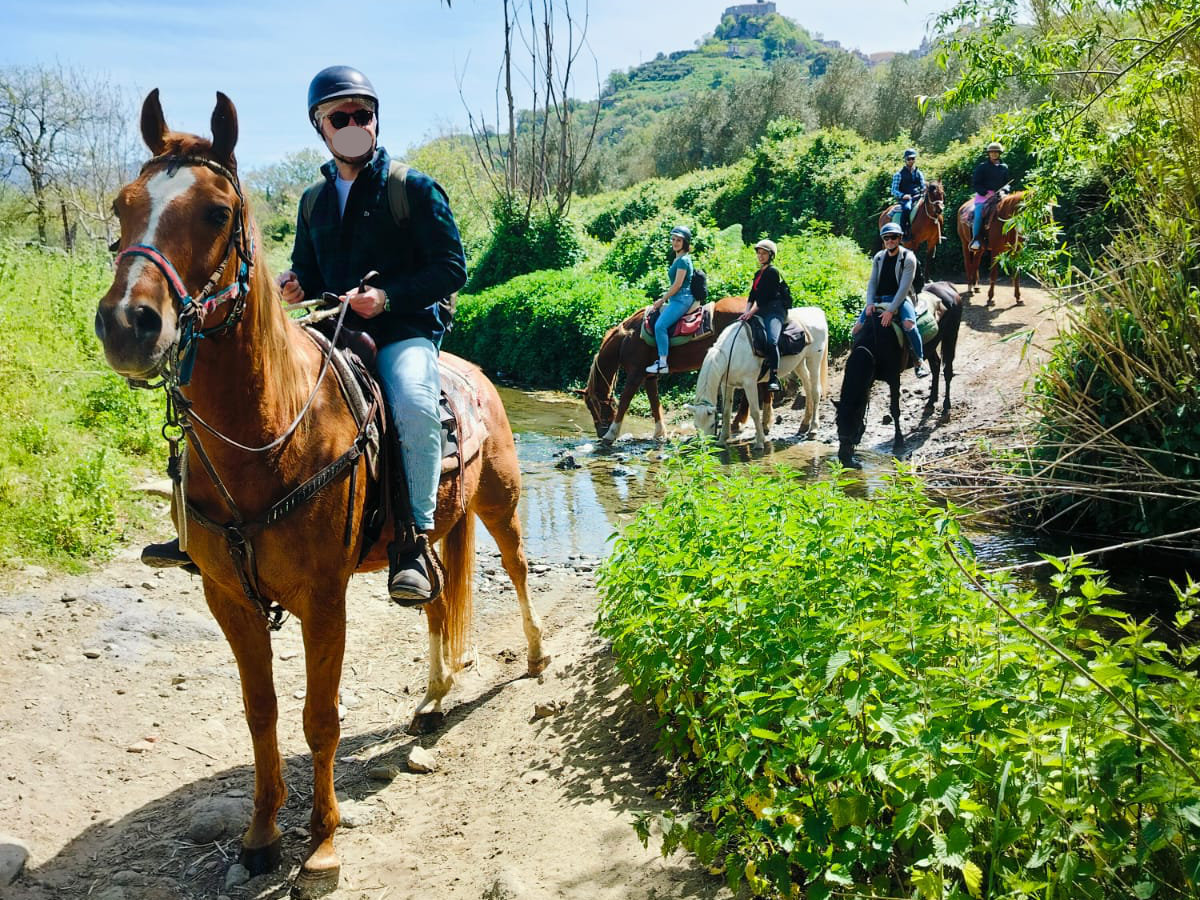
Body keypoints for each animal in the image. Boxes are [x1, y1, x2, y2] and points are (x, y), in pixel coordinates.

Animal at [93, 91, 549, 899]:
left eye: (217, 212)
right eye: (124, 205)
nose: (127, 325)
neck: (269, 433)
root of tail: (475, 374)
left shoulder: (323, 598)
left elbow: (320, 718)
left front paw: (323, 846)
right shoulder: (229, 599)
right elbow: (262, 714)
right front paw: (260, 835)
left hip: (499, 504)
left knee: (520, 571)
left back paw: (533, 657)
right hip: (432, 530)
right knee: (435, 596)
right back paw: (433, 698)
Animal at [579, 296, 768, 442]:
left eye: (593, 405)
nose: (600, 432)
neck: (628, 338)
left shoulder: (636, 374)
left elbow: (625, 401)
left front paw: (611, 434)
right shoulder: (649, 376)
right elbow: (654, 402)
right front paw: (659, 433)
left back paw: (740, 423)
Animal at [691, 307, 830, 450]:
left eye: (712, 424)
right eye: (696, 426)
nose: (705, 449)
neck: (731, 352)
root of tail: (817, 311)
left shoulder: (749, 383)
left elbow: (755, 412)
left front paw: (760, 442)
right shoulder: (727, 385)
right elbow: (726, 411)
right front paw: (722, 440)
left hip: (814, 359)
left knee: (815, 391)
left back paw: (813, 429)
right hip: (799, 363)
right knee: (807, 387)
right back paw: (804, 424)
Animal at [834, 281, 963, 468]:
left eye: (855, 423)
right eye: (837, 423)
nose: (843, 456)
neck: (874, 344)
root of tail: (948, 286)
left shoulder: (894, 378)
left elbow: (895, 409)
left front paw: (899, 442)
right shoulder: (870, 380)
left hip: (951, 336)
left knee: (947, 371)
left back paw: (946, 408)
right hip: (931, 345)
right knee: (936, 365)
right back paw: (930, 403)